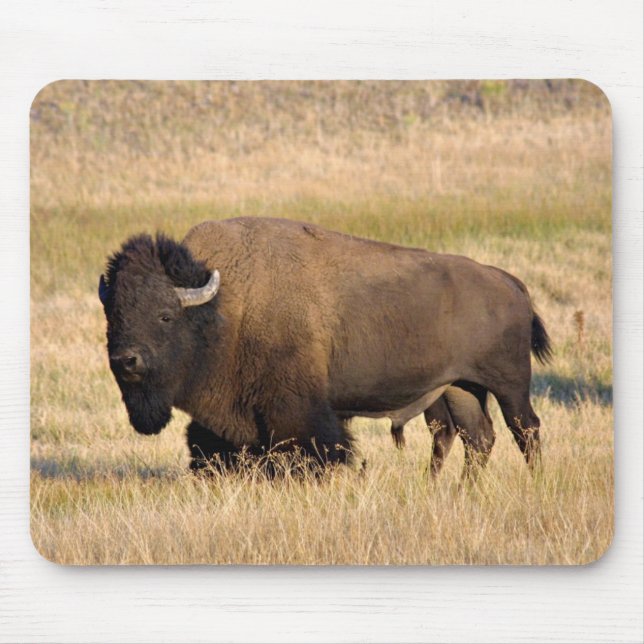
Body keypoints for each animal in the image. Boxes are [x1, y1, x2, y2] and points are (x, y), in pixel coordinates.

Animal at [99, 217, 551, 475]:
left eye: (165, 315)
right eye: (113, 316)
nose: (126, 361)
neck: (226, 306)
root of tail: (508, 281)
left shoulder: (298, 409)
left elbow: (313, 449)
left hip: (509, 385)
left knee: (525, 430)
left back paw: (535, 483)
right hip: (460, 387)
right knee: (477, 437)